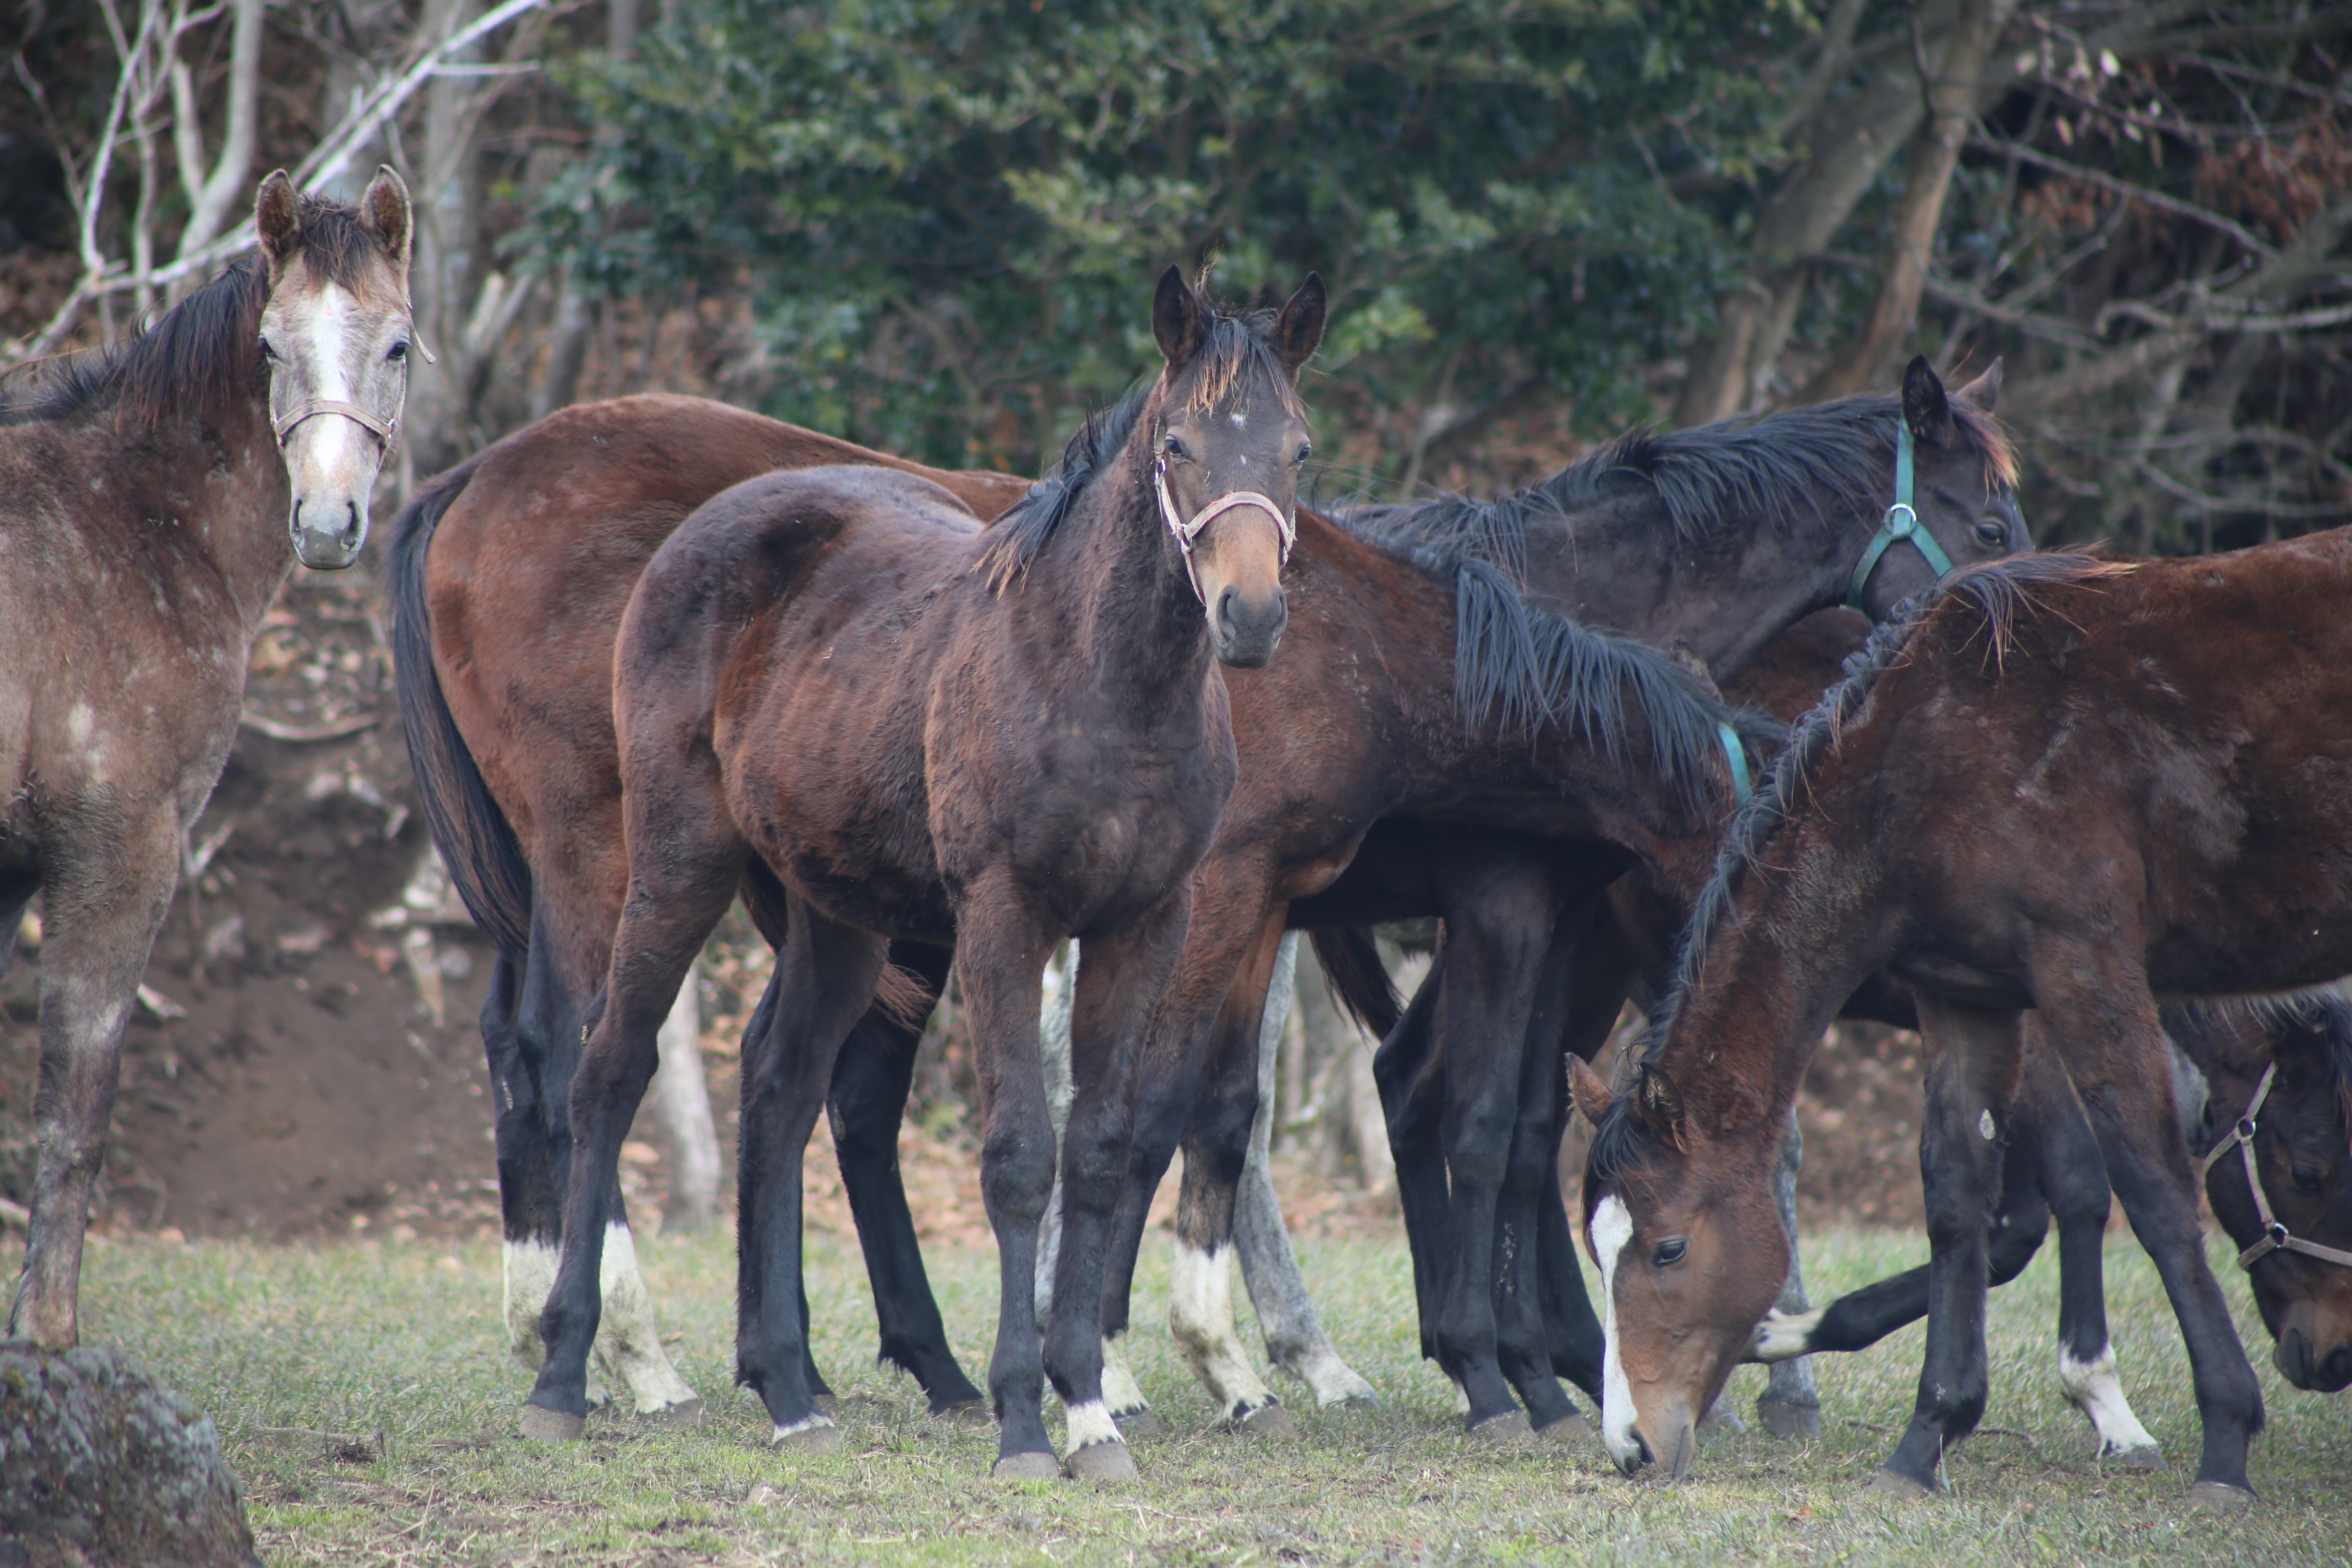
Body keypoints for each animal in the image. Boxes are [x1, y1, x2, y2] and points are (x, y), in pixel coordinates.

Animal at [2, 169, 416, 1354]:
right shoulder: (120, 854)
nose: (327, 522)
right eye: (273, 347)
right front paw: (47, 1331)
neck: (135, 522)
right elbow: (75, 1107)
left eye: (398, 344)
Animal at [515, 270, 1326, 1486]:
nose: (1251, 616)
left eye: (1297, 450)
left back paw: (789, 1390)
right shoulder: (1003, 916)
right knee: (610, 1068)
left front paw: (1089, 1408)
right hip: (677, 861)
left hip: (836, 913)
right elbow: (1020, 1157)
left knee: (779, 1081)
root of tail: (702, 533)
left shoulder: (1146, 923)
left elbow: (1097, 1155)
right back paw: (564, 1375)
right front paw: (1026, 1420)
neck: (1101, 685)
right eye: (1177, 446)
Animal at [1110, 362, 2032, 1439]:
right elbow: (1489, 1118)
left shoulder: (1568, 921)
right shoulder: (1511, 905)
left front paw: (1539, 1358)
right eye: (1989, 528)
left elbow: (1525, 1124)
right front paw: (1518, 1366)